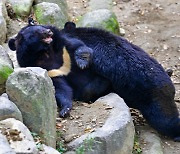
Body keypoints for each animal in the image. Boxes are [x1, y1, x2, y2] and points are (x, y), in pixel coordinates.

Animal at [8, 21, 180, 141]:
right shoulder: (50, 71)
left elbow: (80, 49)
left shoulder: (67, 45)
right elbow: (61, 88)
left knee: (165, 120)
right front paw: (65, 109)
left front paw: (82, 61)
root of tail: (168, 86)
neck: (45, 53)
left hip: (153, 98)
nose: (48, 31)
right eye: (35, 32)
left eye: (40, 26)